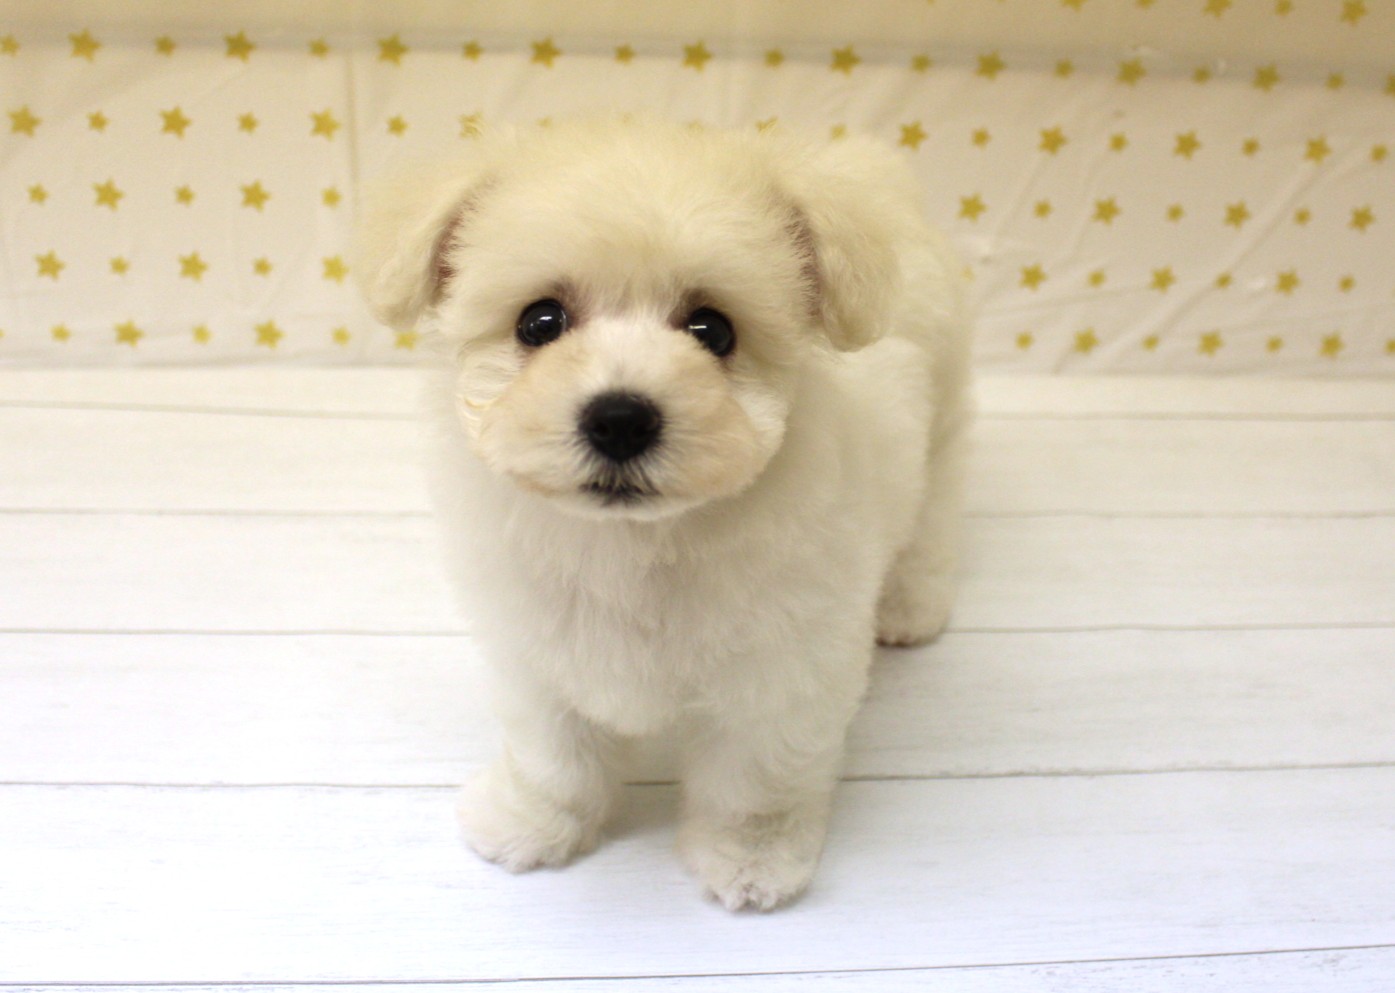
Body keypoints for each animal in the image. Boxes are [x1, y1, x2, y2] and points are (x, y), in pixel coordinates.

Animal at [354, 120, 971, 911]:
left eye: (713, 330)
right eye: (539, 322)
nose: (619, 419)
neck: (633, 544)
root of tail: (879, 181)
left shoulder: (783, 675)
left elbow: (754, 780)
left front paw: (751, 857)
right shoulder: (538, 653)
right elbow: (552, 756)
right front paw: (532, 821)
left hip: (945, 414)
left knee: (936, 509)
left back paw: (911, 603)